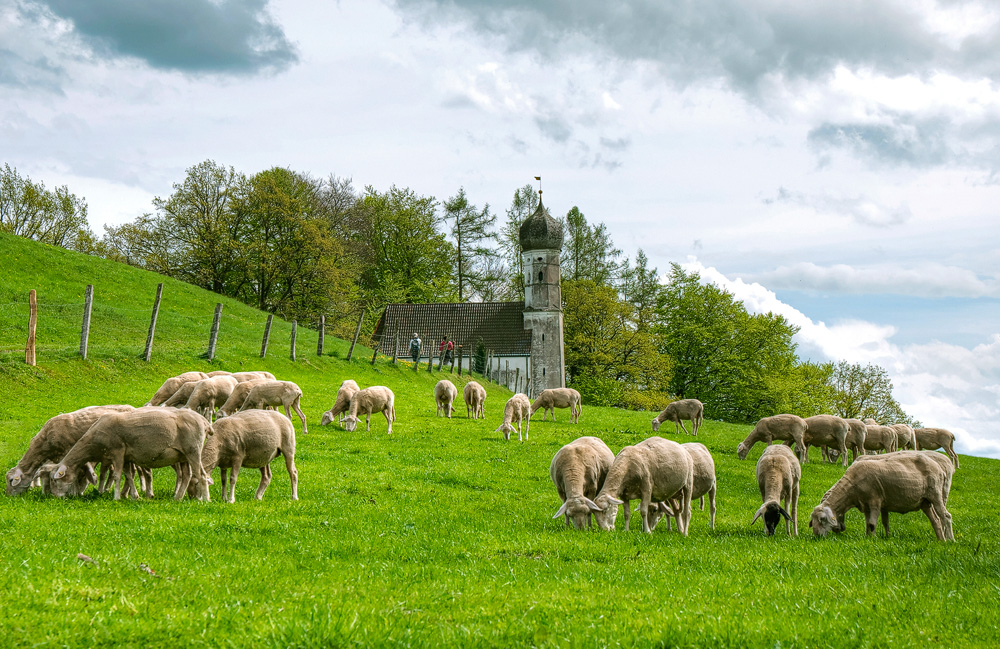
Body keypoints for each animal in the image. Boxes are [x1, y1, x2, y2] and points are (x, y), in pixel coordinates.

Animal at [46, 404, 214, 502]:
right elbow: (129, 476)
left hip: (193, 450)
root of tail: (204, 421)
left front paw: (116, 497)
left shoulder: (118, 452)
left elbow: (117, 475)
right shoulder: (127, 456)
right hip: (183, 455)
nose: (55, 497)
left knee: (201, 475)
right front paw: (134, 496)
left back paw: (205, 500)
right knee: (187, 475)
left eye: (54, 480)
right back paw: (178, 498)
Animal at [808, 448, 956, 540]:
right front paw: (869, 537)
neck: (851, 489)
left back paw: (950, 540)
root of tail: (939, 468)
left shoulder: (875, 501)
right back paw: (940, 540)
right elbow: (871, 523)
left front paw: (873, 540)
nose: (817, 537)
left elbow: (873, 523)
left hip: (936, 494)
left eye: (822, 519)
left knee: (946, 516)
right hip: (925, 501)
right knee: (936, 520)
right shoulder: (867, 505)